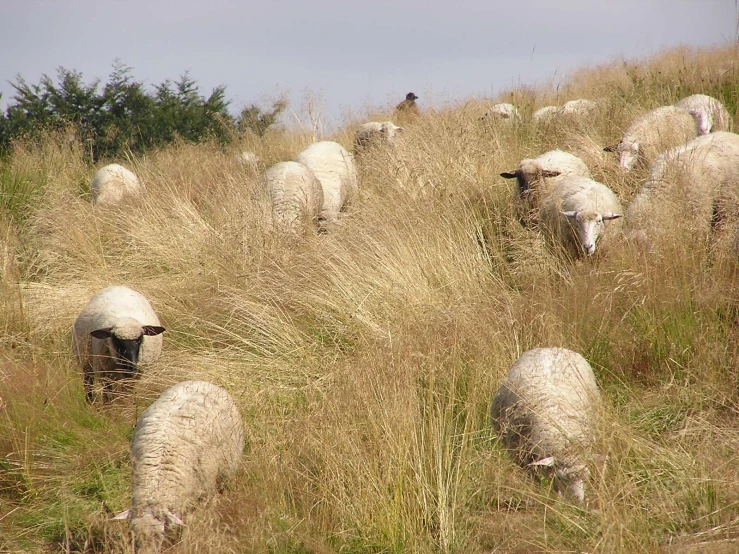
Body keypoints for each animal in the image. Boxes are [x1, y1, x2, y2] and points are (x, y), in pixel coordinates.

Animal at [488, 348, 604, 502]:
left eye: (586, 478)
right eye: (561, 478)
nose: (577, 504)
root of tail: (552, 347)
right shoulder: (521, 456)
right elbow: (535, 480)